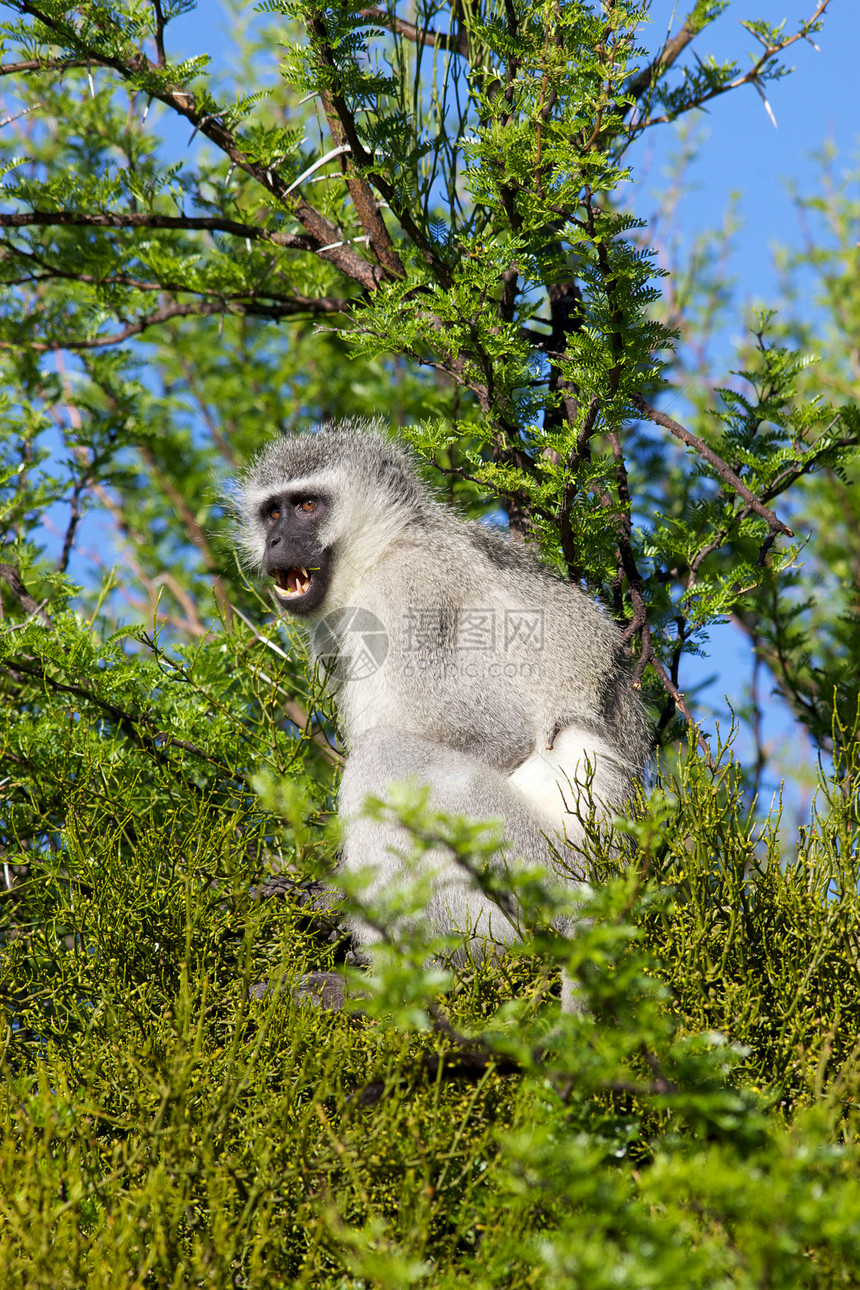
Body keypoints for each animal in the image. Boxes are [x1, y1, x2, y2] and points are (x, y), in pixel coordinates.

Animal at [238, 420, 649, 970]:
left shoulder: (411, 588)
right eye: (272, 512)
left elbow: (501, 733)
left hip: (547, 868)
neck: (384, 547)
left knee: (384, 757)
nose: (277, 540)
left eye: (307, 506)